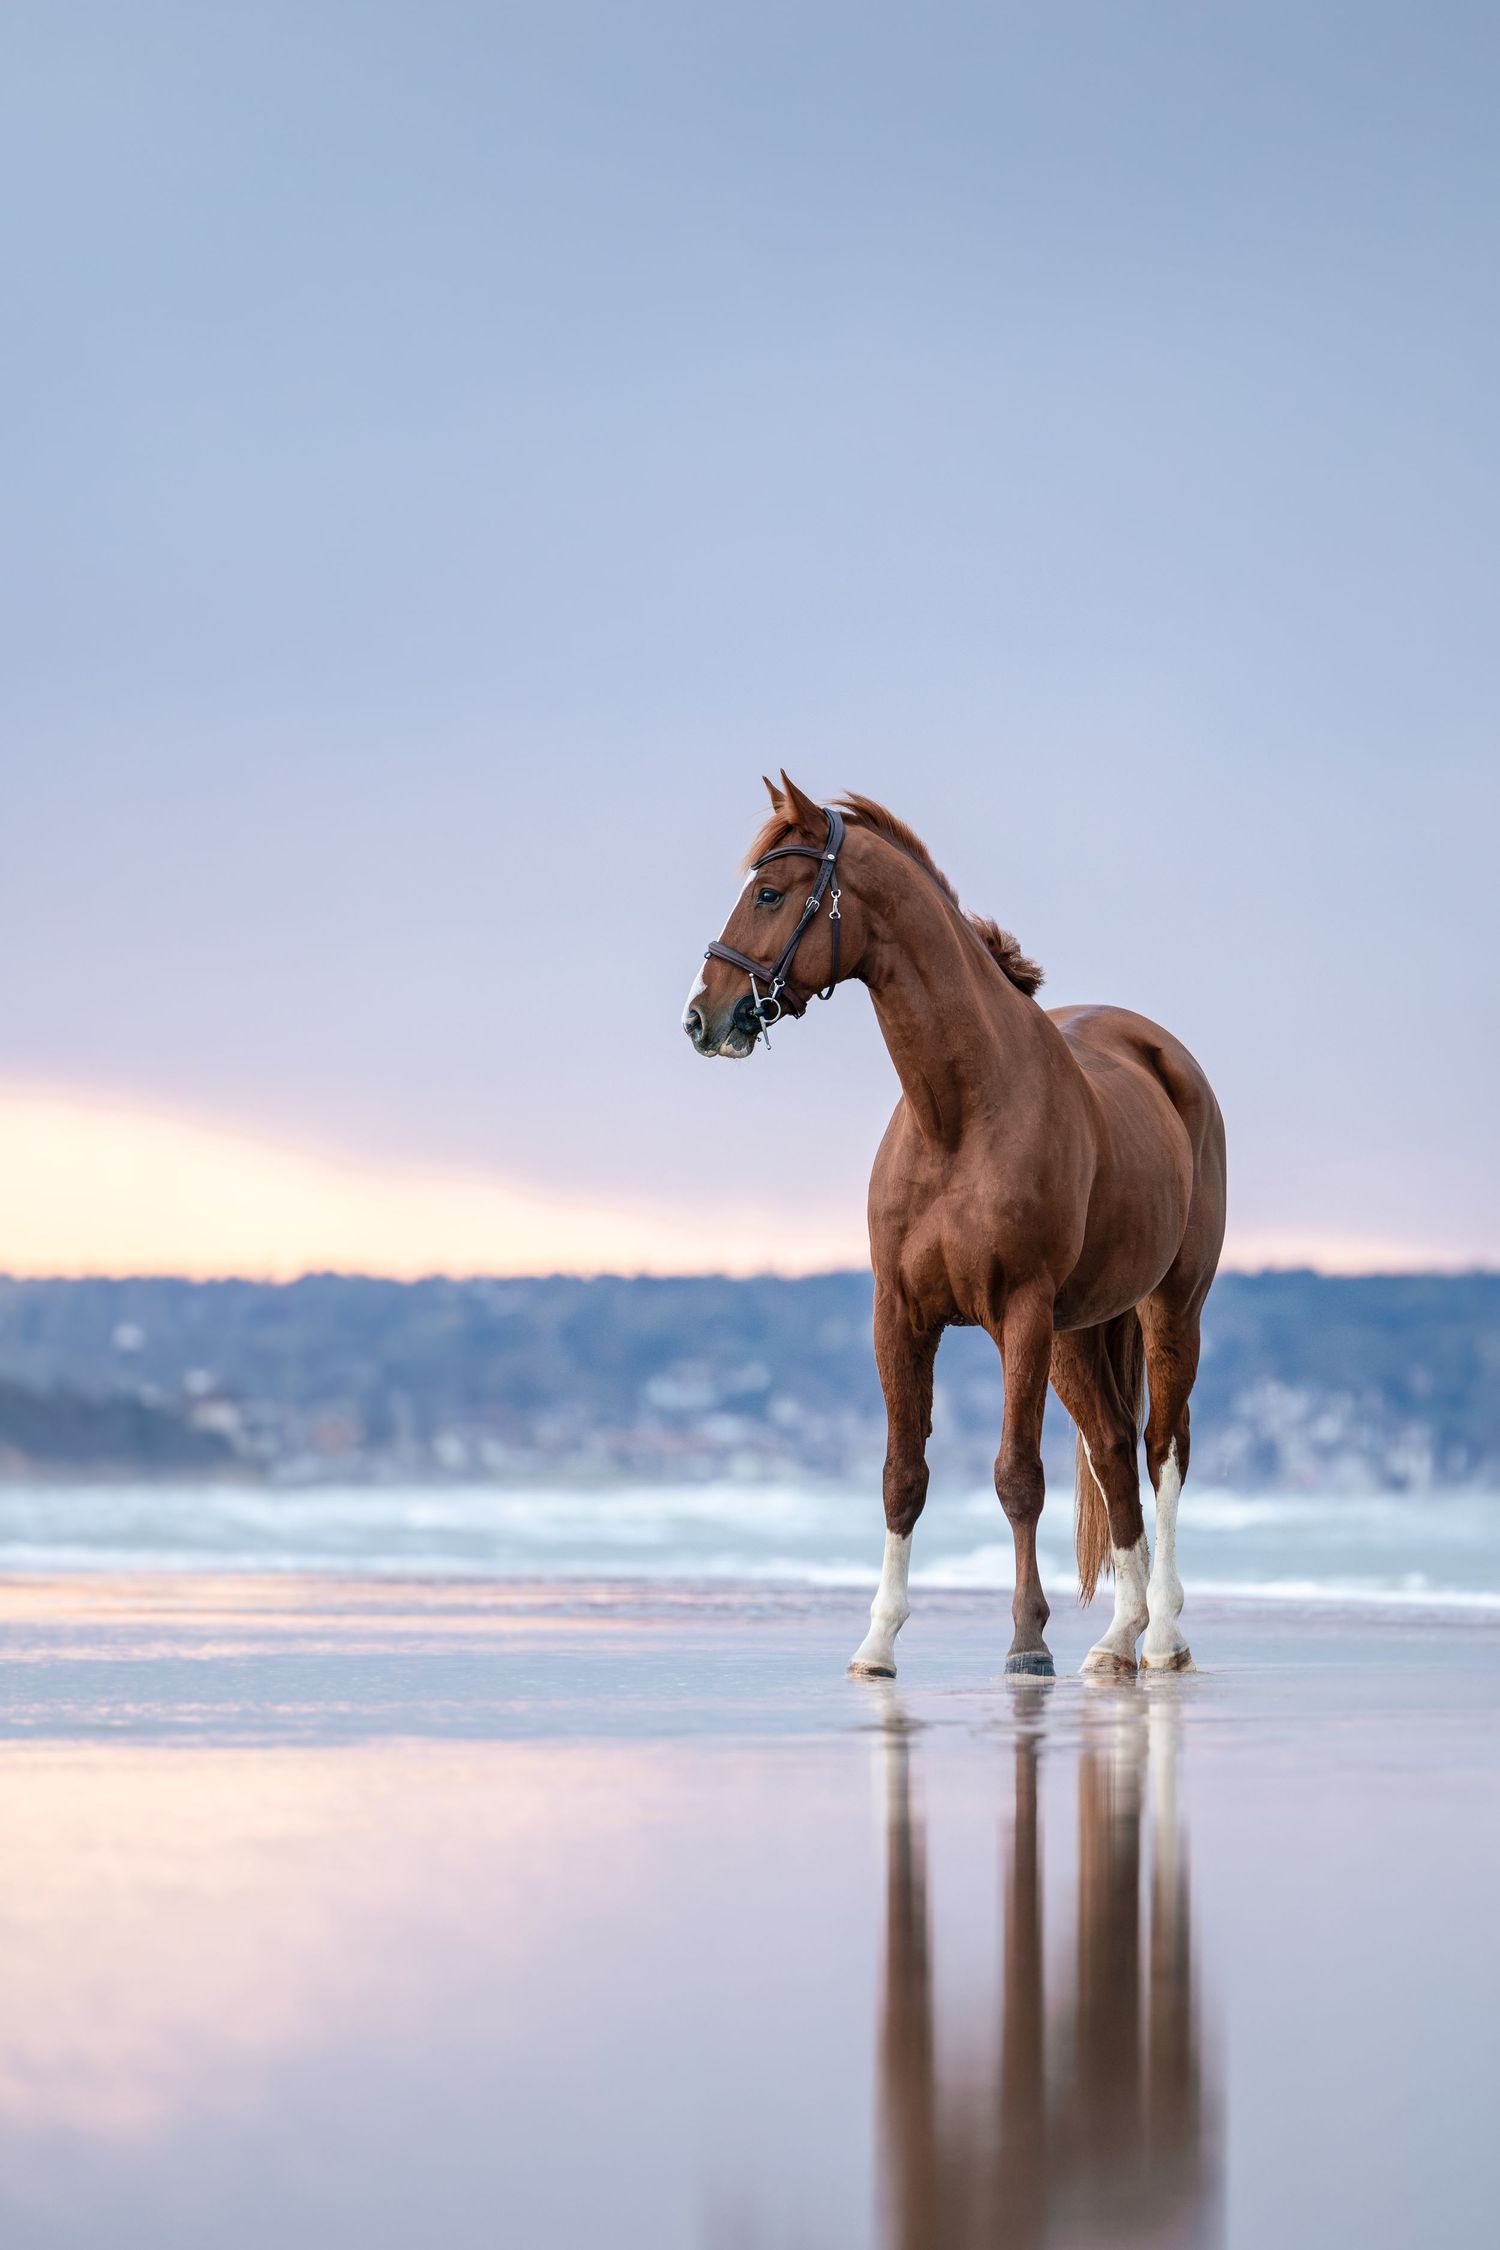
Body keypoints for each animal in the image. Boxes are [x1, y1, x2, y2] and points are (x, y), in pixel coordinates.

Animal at [683, 772, 1227, 1681]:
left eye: (769, 893)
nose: (702, 1018)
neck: (960, 1116)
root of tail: (1167, 1059)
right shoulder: (900, 1315)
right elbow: (903, 1474)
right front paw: (877, 1643)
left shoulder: (1022, 1313)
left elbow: (1017, 1476)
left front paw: (1027, 1641)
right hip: (1080, 1335)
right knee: (1113, 1453)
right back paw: (1117, 1639)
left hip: (1168, 1308)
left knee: (1162, 1449)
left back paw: (1162, 1635)